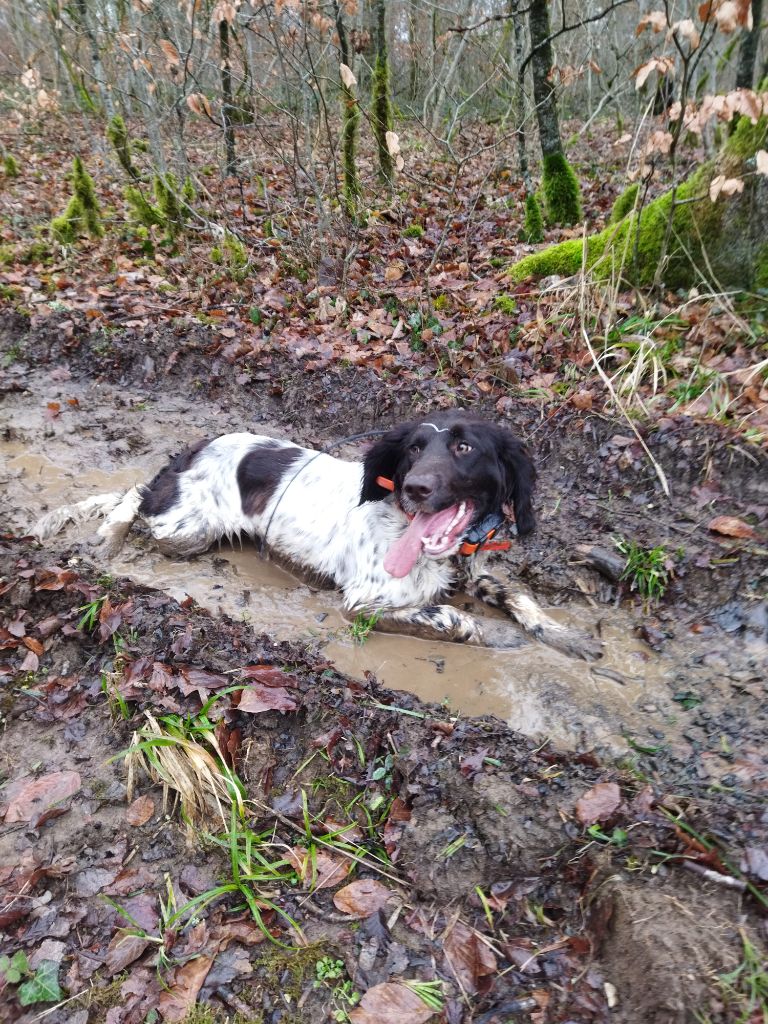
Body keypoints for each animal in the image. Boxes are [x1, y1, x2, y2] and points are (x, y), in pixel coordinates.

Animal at [34, 411, 602, 659]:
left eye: (465, 448)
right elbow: (450, 616)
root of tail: (191, 449)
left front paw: (564, 636)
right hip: (186, 529)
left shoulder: (475, 572)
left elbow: (517, 594)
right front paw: (495, 638)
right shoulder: (364, 602)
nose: (416, 488)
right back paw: (109, 535)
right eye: (413, 450)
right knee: (134, 496)